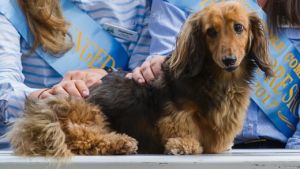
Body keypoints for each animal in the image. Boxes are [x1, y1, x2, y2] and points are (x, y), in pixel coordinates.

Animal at [8, 1, 274, 157]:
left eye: (238, 28)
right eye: (211, 32)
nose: (229, 60)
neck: (219, 78)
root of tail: (47, 108)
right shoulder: (176, 113)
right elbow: (183, 127)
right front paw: (184, 144)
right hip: (90, 111)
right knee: (80, 137)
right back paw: (122, 142)